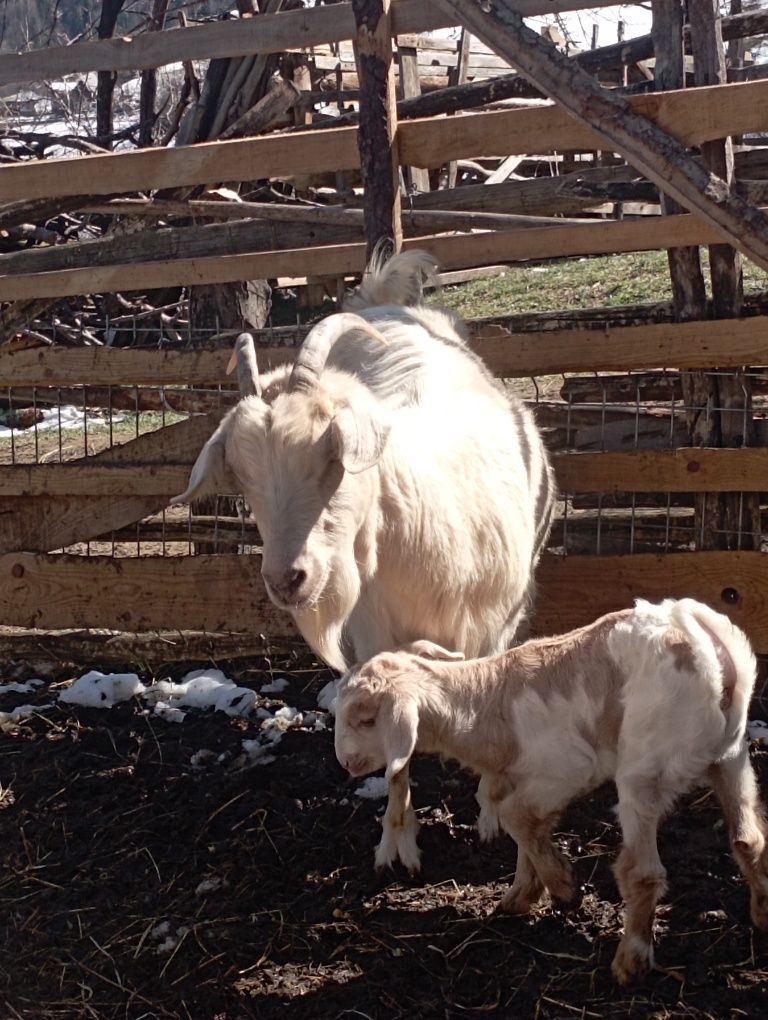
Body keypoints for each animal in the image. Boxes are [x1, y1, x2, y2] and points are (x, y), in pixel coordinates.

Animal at [172, 251, 550, 673]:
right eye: (240, 475)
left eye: (332, 456)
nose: (286, 580)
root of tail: (383, 304)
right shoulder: (374, 634)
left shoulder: (492, 629)